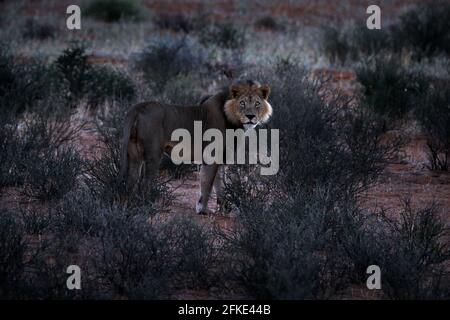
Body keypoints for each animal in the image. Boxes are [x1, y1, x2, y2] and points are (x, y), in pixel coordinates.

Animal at [119, 80, 272, 215]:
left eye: (257, 104)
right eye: (242, 103)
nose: (250, 116)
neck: (232, 119)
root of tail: (138, 108)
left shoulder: (221, 159)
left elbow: (220, 185)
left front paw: (224, 208)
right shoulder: (211, 156)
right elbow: (207, 184)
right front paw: (203, 210)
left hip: (133, 154)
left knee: (131, 182)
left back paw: (131, 204)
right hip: (153, 155)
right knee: (144, 183)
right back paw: (148, 206)